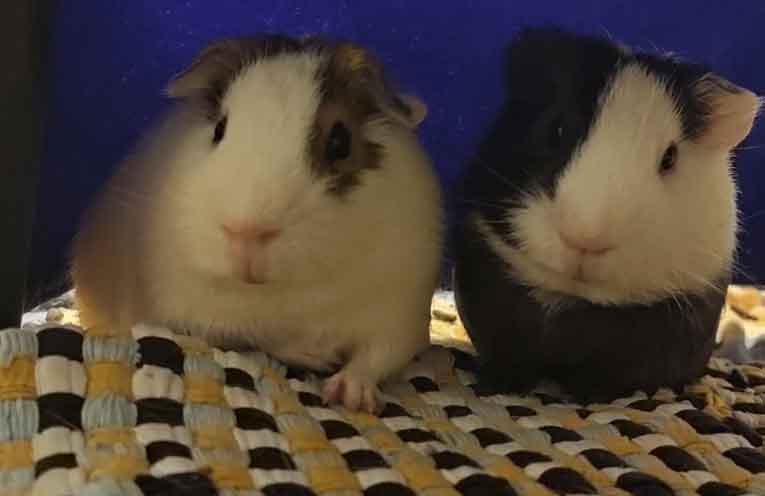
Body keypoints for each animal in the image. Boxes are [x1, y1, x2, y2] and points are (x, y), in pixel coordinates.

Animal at [70, 34, 444, 412]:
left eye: (340, 142)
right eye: (219, 129)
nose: (246, 232)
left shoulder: (401, 319)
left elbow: (372, 359)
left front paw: (349, 395)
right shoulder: (197, 316)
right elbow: (260, 338)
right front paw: (318, 356)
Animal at [453, 27, 762, 402]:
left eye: (669, 158)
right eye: (556, 129)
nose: (585, 238)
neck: (572, 297)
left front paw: (586, 396)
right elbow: (506, 354)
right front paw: (497, 387)